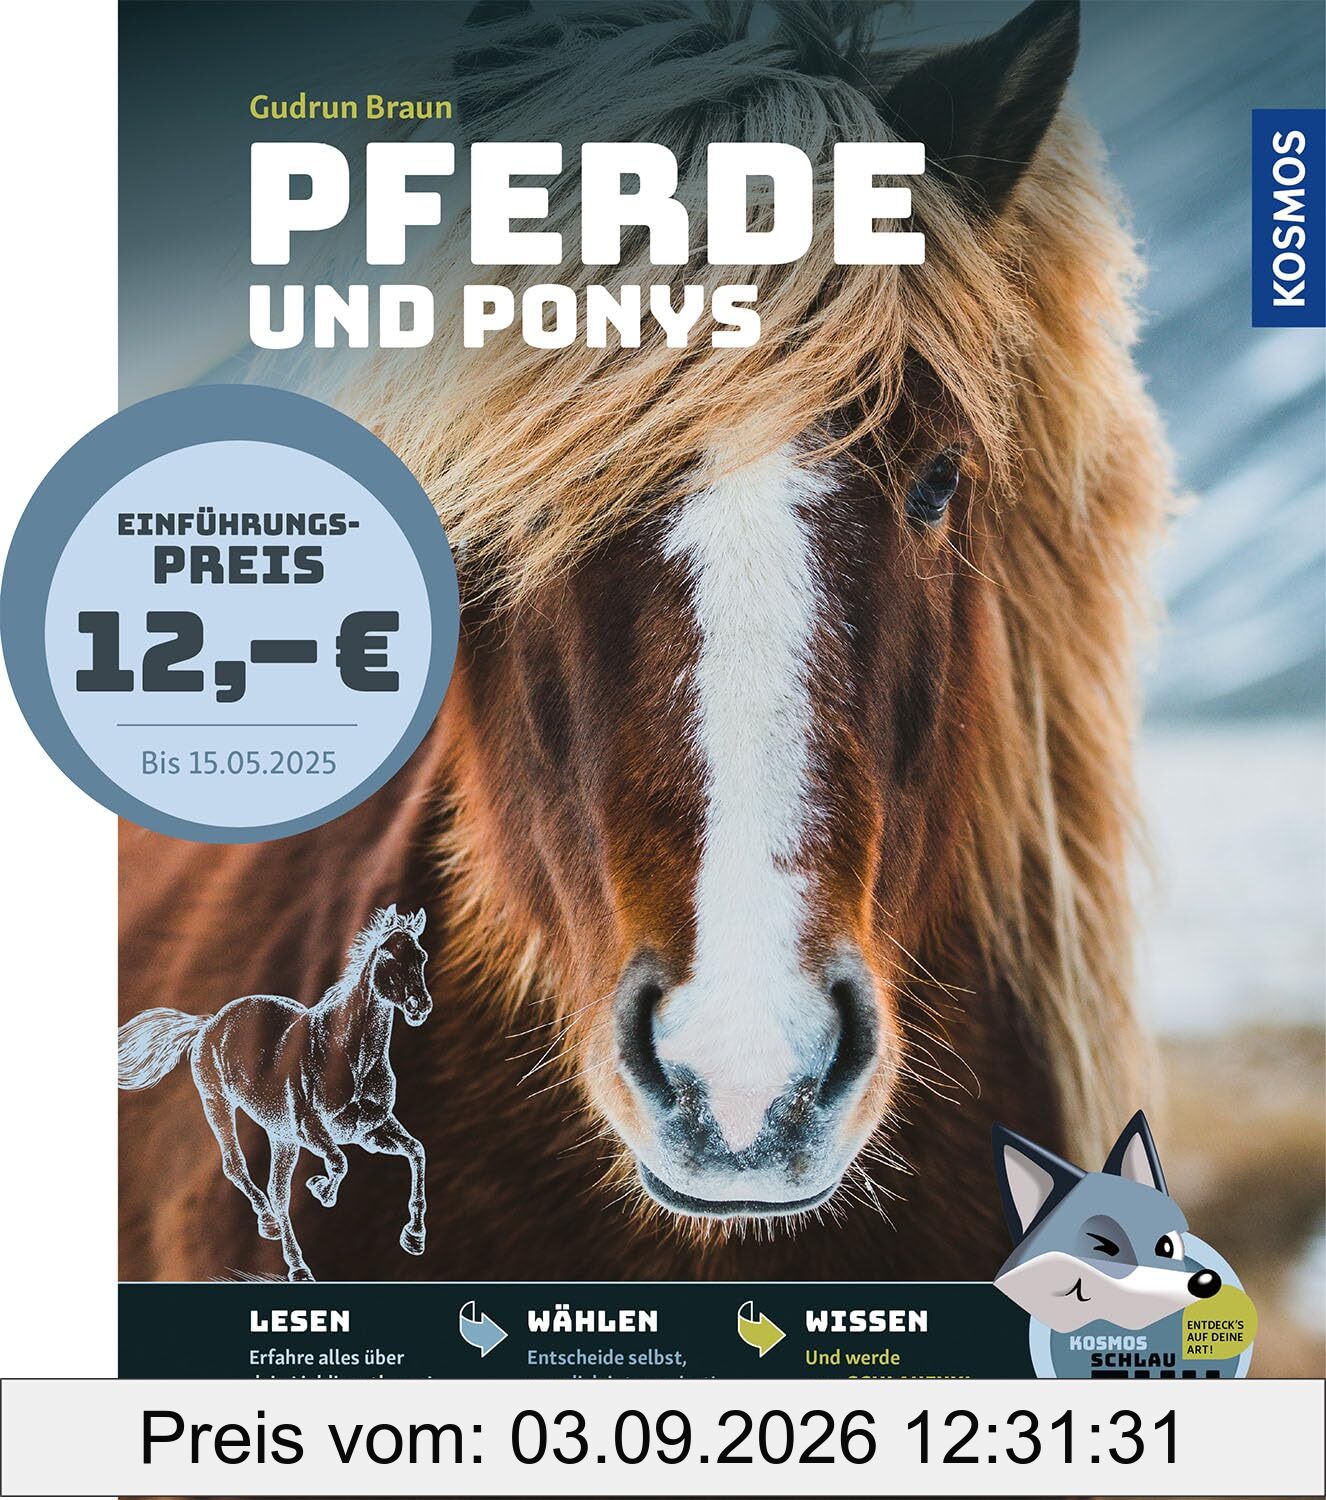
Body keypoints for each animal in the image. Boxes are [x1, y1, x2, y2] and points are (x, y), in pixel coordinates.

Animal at [117, 906, 431, 1280]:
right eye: (388, 955)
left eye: (421, 956)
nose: (419, 1006)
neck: (351, 1058)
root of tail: (209, 1024)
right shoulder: (311, 1130)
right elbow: (340, 1163)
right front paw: (321, 1190)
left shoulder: (369, 1130)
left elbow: (416, 1152)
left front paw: (414, 1236)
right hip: (219, 1106)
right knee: (237, 1168)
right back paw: (282, 1243)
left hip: (280, 1136)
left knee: (277, 1192)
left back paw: (286, 1247)